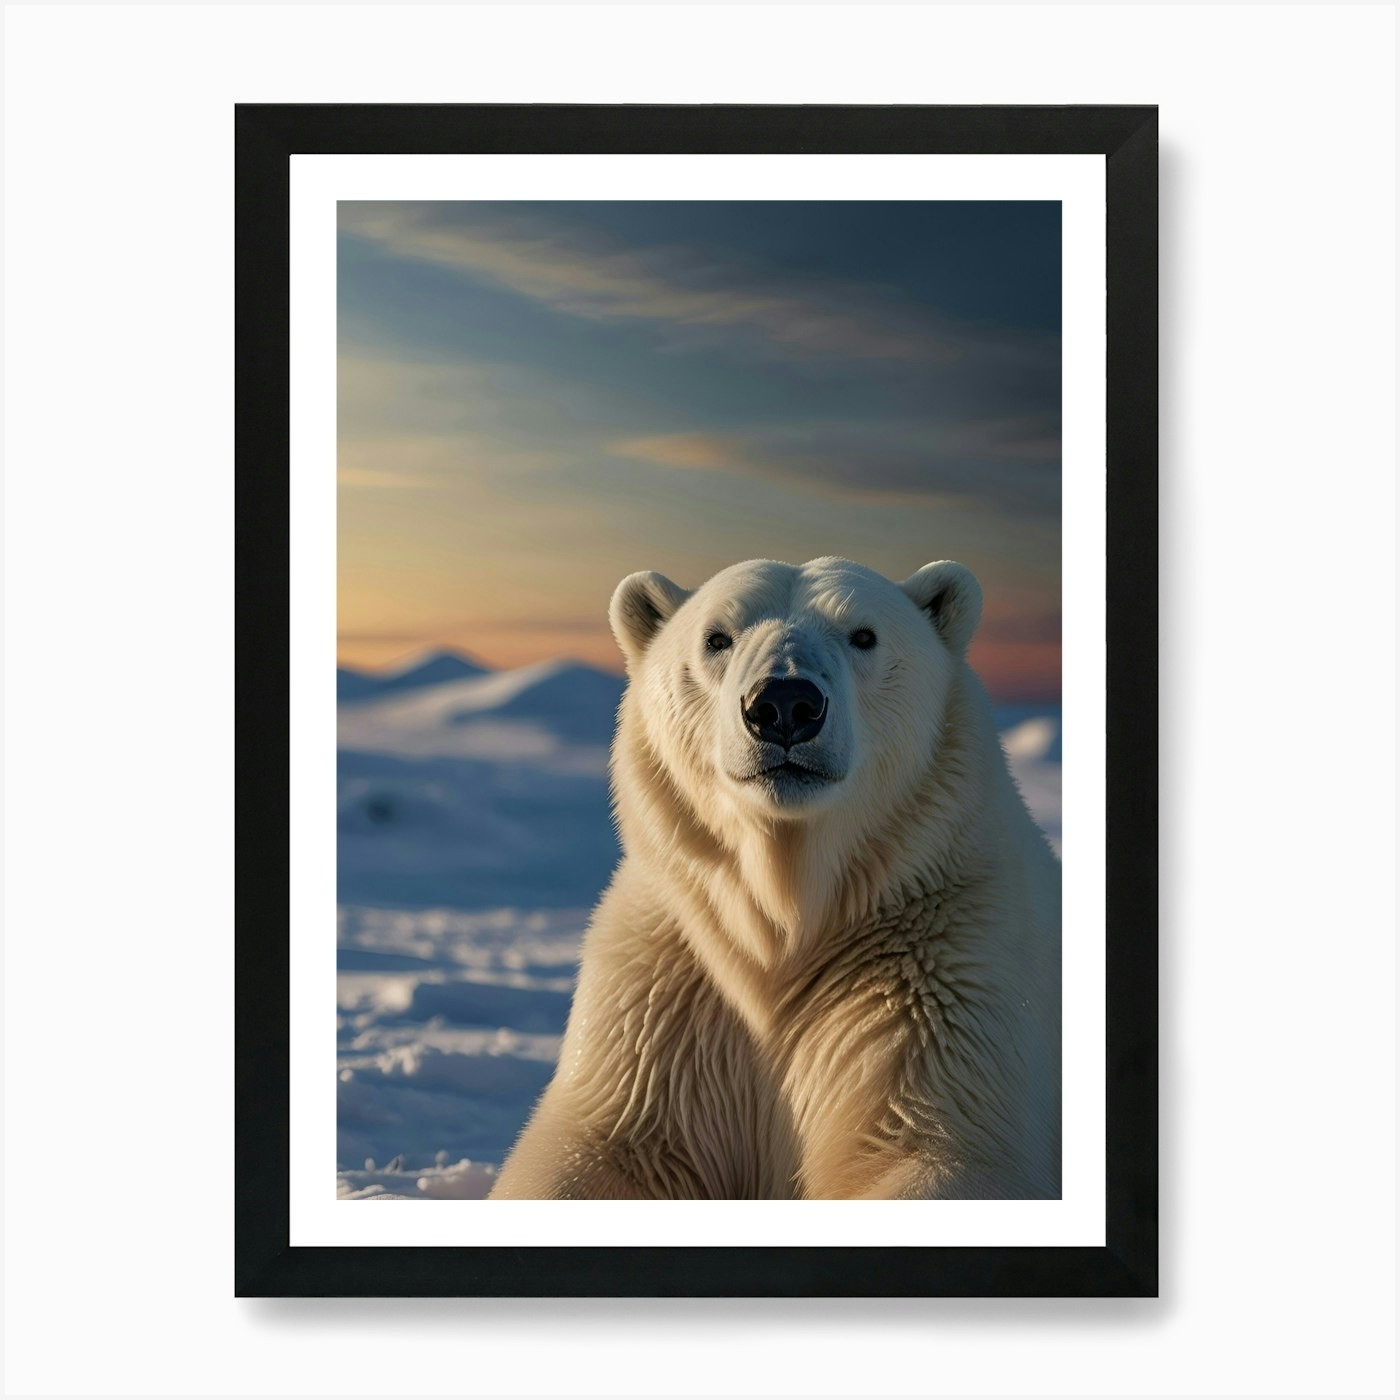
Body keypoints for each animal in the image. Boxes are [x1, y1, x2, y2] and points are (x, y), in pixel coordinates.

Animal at [490, 556, 1061, 1199]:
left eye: (864, 634)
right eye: (717, 637)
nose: (785, 705)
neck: (784, 918)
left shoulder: (940, 979)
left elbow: (932, 1145)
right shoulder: (661, 1001)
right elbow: (594, 1151)